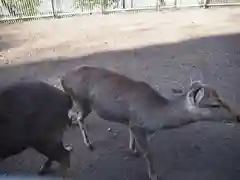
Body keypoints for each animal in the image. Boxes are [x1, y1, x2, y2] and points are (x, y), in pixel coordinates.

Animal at [60, 65, 240, 180]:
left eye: (221, 96)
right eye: (214, 104)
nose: (238, 116)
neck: (157, 117)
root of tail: (63, 78)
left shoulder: (132, 122)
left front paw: (133, 150)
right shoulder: (137, 125)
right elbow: (148, 152)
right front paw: (153, 175)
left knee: (73, 114)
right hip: (83, 102)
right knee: (79, 116)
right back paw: (87, 144)